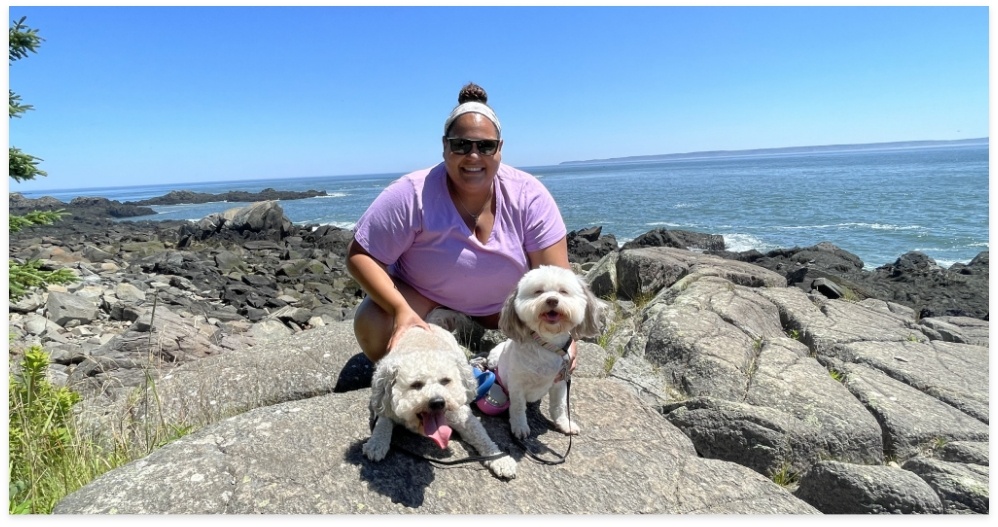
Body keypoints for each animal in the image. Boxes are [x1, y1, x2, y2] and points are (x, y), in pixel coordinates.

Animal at [362, 324, 516, 480]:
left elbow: (481, 435)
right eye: (416, 385)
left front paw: (499, 459)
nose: (437, 402)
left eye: (445, 381)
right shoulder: (385, 403)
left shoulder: (462, 416)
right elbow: (382, 422)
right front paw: (376, 443)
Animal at [486, 264, 604, 442]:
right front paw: (520, 426)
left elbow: (559, 405)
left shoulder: (561, 381)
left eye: (563, 291)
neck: (548, 344)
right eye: (538, 291)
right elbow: (518, 406)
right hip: (494, 360)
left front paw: (564, 423)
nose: (552, 300)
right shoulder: (517, 383)